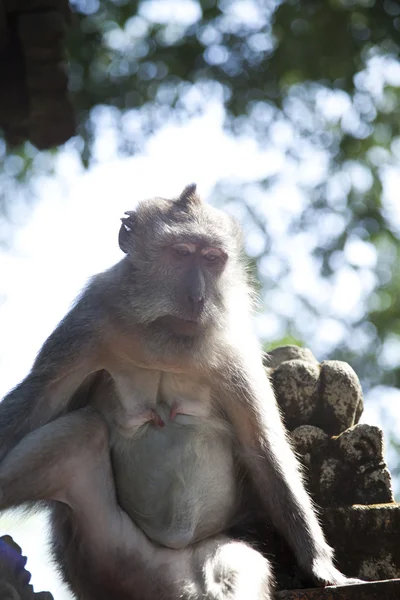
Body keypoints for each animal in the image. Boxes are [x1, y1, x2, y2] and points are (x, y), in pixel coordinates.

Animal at [0, 185, 360, 596]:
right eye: (182, 253)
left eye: (212, 258)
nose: (197, 298)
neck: (165, 341)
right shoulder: (89, 320)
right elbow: (34, 403)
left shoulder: (233, 345)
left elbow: (262, 448)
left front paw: (320, 568)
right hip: (103, 553)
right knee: (78, 436)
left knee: (234, 570)